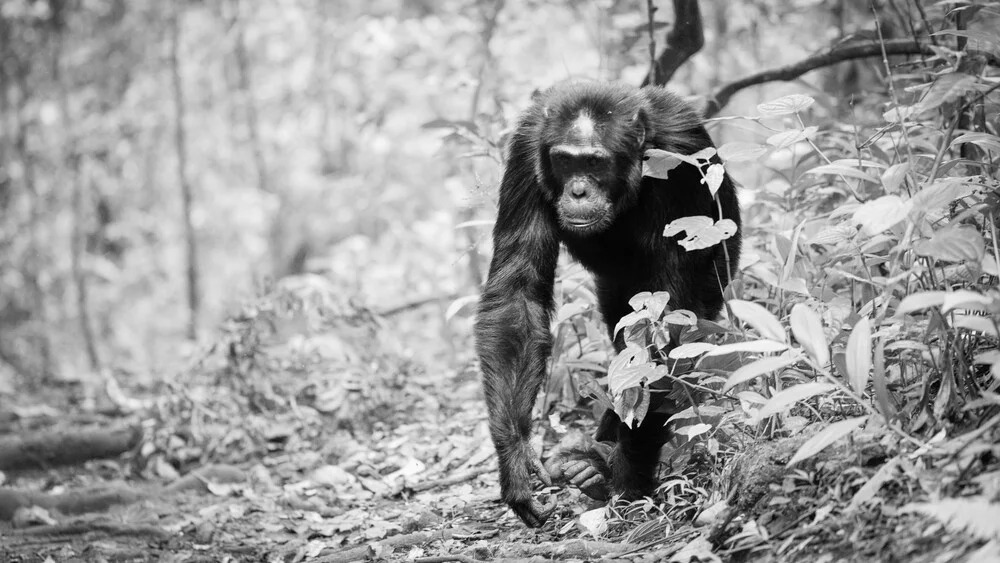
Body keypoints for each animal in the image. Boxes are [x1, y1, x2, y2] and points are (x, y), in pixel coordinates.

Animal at [472, 81, 740, 532]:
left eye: (595, 163)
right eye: (564, 161)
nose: (578, 190)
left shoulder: (681, 159)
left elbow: (664, 324)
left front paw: (628, 480)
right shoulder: (526, 151)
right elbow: (517, 294)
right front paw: (515, 460)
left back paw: (600, 463)